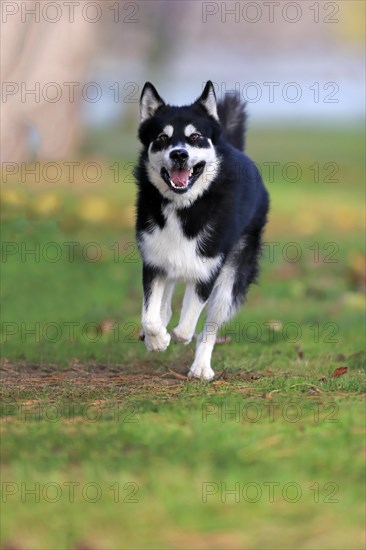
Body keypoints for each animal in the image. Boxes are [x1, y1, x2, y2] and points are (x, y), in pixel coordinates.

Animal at [135, 82, 268, 382]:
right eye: (162, 138)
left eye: (195, 136)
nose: (179, 154)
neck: (184, 206)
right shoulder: (153, 262)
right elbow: (150, 316)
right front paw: (156, 339)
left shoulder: (207, 270)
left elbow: (187, 327)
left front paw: (176, 337)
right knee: (166, 302)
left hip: (229, 282)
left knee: (209, 328)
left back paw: (201, 368)